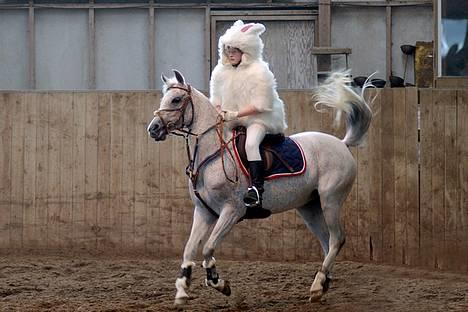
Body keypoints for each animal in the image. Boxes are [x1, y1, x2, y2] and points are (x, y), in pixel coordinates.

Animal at [146, 69, 372, 306]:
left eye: (176, 99)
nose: (153, 129)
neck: (212, 153)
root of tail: (342, 144)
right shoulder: (203, 213)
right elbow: (189, 249)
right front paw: (182, 289)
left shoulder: (232, 212)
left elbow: (208, 248)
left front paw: (218, 282)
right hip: (309, 207)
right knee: (327, 241)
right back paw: (323, 283)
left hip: (331, 201)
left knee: (337, 238)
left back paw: (318, 285)